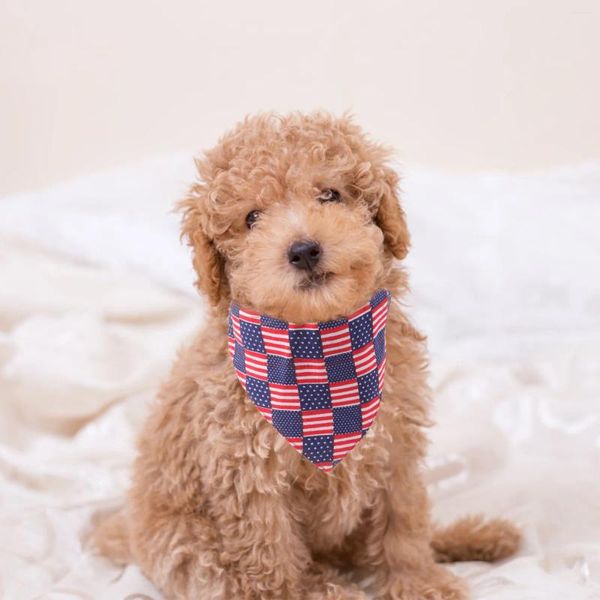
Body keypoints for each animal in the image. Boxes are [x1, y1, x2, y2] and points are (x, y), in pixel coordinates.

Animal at [92, 113, 520, 600]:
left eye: (329, 194)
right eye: (252, 218)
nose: (303, 250)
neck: (320, 346)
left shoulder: (395, 446)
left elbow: (404, 523)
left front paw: (418, 581)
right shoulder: (247, 472)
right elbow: (270, 555)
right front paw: (297, 592)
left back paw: (474, 537)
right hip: (188, 547)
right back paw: (331, 587)